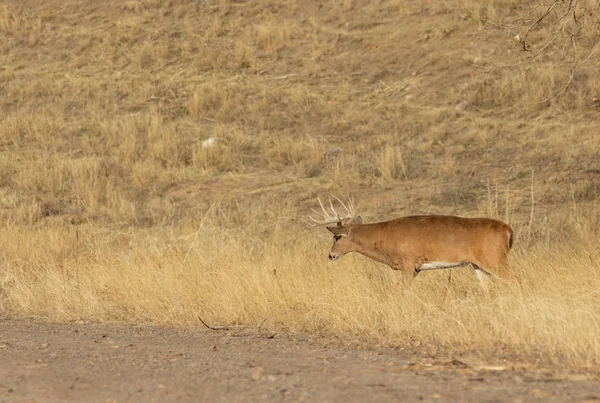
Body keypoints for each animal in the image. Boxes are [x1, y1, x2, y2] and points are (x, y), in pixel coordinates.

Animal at [310, 199, 516, 290]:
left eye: (337, 237)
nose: (331, 255)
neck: (384, 237)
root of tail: (508, 230)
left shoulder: (408, 264)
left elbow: (399, 290)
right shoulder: (414, 268)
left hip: (496, 259)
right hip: (478, 264)